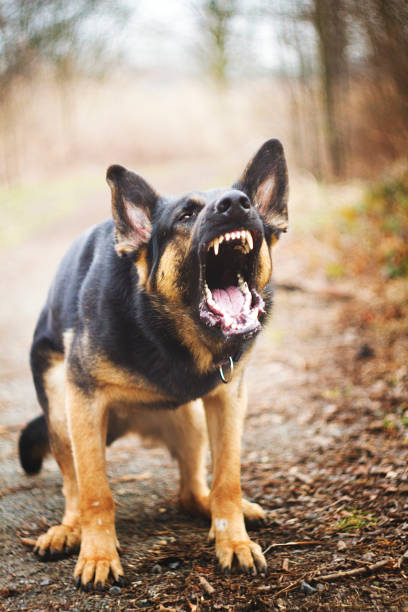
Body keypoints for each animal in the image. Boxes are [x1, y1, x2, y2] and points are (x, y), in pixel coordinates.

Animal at [18, 139, 286, 588]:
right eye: (185, 215)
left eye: (245, 201)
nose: (235, 204)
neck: (166, 332)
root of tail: (134, 421)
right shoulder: (84, 403)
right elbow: (95, 493)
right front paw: (98, 555)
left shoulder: (228, 400)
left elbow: (227, 480)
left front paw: (233, 542)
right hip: (59, 410)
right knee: (72, 488)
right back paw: (69, 530)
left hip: (192, 421)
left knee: (192, 491)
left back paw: (211, 509)